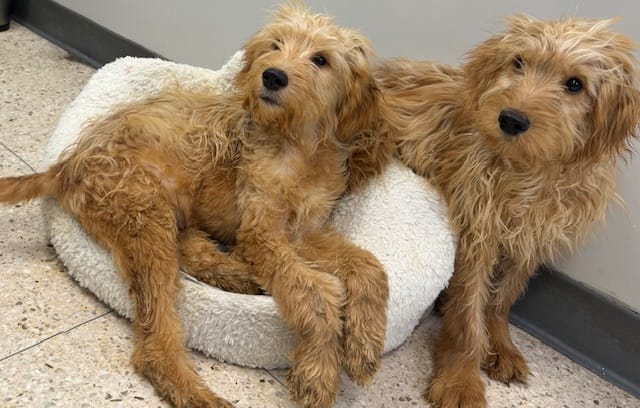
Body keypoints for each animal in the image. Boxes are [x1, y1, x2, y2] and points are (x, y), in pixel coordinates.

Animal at [0, 3, 392, 408]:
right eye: (275, 45)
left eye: (321, 59)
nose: (272, 76)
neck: (296, 144)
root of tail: (65, 165)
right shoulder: (262, 232)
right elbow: (314, 294)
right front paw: (318, 371)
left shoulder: (304, 230)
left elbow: (369, 266)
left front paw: (364, 348)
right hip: (145, 212)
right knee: (156, 337)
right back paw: (196, 388)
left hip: (168, 210)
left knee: (191, 252)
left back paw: (243, 277)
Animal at [376, 14, 640, 406]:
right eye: (518, 62)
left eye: (575, 84)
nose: (511, 119)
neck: (530, 173)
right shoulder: (478, 229)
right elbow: (469, 313)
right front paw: (461, 378)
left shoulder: (534, 238)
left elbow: (502, 299)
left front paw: (500, 345)